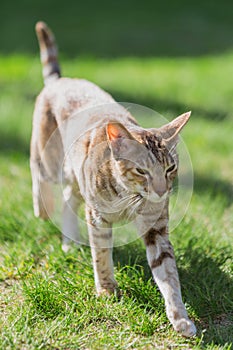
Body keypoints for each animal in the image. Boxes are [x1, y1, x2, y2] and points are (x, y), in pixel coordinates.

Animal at [29, 21, 197, 336]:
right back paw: (42, 208)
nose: (161, 191)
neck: (129, 197)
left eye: (170, 168)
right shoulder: (97, 217)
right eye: (141, 170)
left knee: (69, 198)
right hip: (49, 157)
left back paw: (69, 240)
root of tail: (61, 80)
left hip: (75, 176)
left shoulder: (156, 226)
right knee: (39, 172)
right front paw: (107, 289)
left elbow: (168, 273)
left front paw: (180, 317)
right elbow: (102, 256)